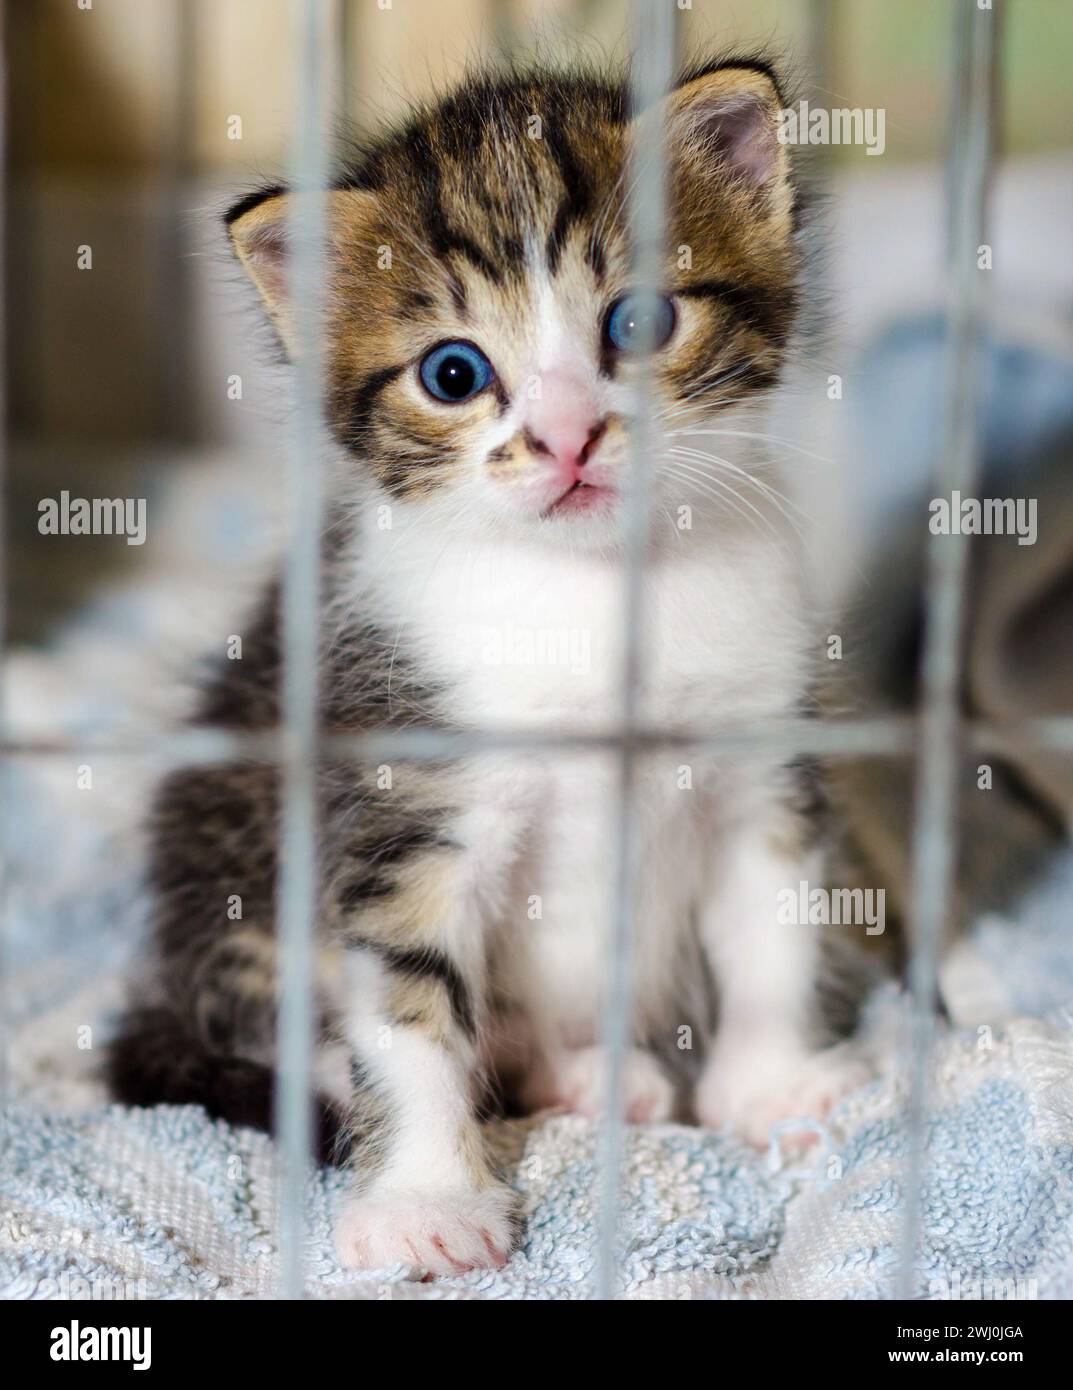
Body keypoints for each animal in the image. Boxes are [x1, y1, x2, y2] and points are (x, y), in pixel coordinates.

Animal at [107, 56, 872, 1273]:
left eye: (640, 319)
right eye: (454, 373)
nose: (565, 437)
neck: (592, 598)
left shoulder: (759, 752)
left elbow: (771, 928)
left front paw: (772, 1082)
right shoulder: (404, 790)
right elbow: (406, 1005)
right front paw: (424, 1199)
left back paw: (578, 1071)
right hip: (225, 856)